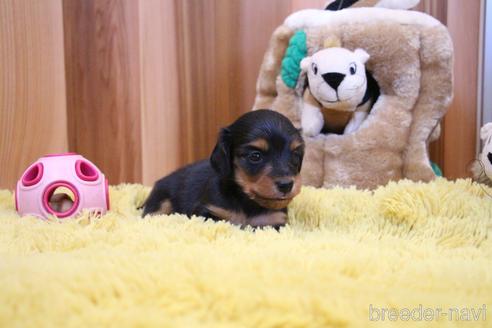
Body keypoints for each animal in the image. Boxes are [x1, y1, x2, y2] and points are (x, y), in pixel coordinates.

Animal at [141, 110, 304, 228]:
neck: (247, 202)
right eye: (255, 156)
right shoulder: (208, 213)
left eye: (295, 154)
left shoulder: (274, 222)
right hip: (161, 200)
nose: (286, 185)